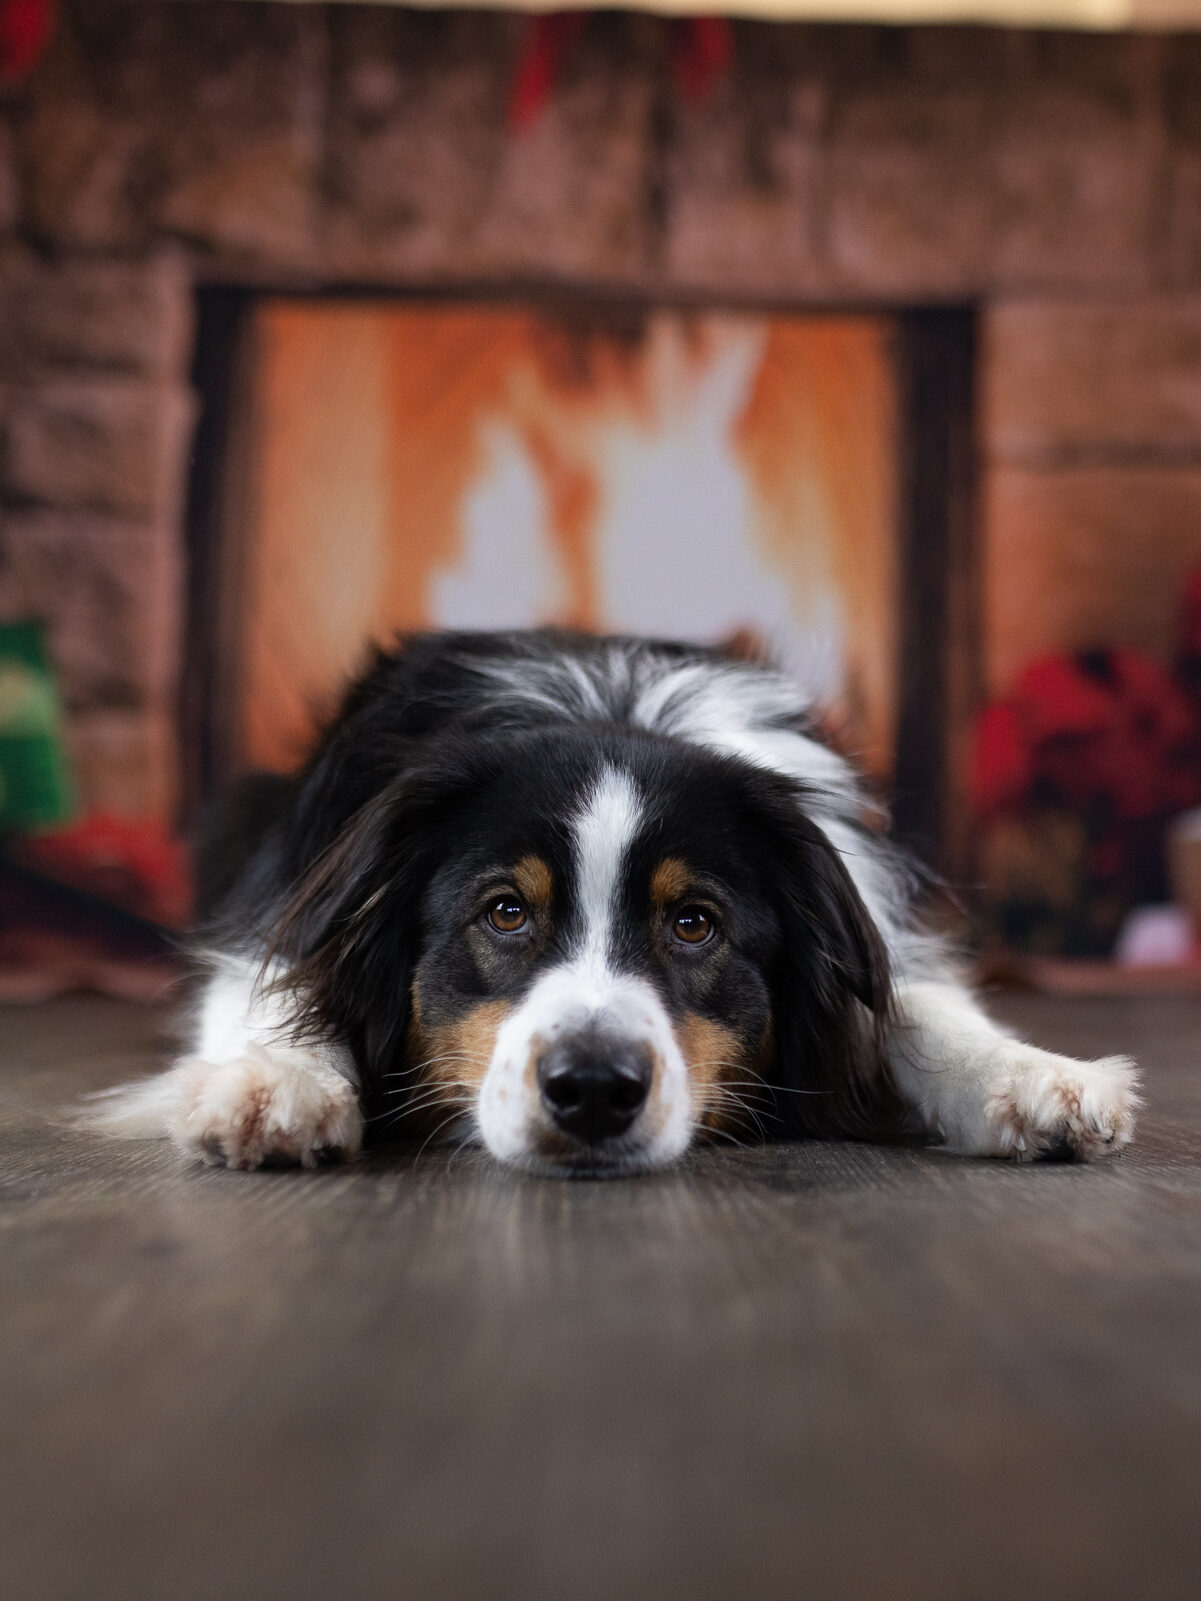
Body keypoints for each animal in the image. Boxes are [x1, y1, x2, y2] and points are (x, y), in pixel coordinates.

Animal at [98, 633, 1140, 1178]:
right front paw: (273, 1085)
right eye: (504, 912)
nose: (594, 1088)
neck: (612, 712)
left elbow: (915, 1004)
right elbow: (274, 987)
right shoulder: (286, 903)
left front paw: (1037, 1077)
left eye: (694, 923)